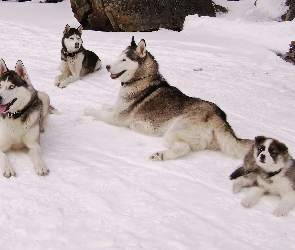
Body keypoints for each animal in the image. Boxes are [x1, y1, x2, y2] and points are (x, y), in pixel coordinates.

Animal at [84, 36, 253, 160]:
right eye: (118, 57)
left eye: (124, 59)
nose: (107, 66)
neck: (142, 78)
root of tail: (218, 115)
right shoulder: (118, 108)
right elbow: (108, 106)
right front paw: (104, 105)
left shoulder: (116, 119)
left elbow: (99, 113)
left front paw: (88, 110)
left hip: (173, 132)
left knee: (183, 148)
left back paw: (161, 155)